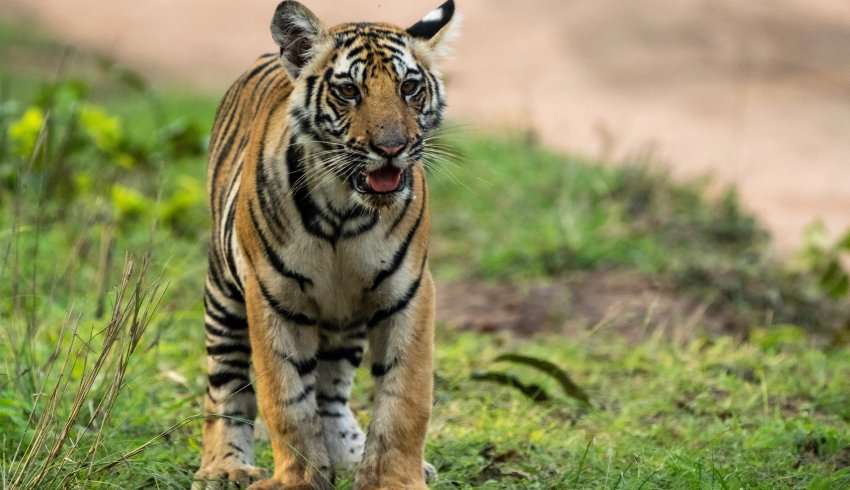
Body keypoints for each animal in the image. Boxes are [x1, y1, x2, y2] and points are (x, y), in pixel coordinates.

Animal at [192, 0, 458, 490]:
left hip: (345, 319)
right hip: (223, 295)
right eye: (349, 91)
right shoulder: (272, 296)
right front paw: (297, 479)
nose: (391, 148)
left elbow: (405, 398)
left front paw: (394, 479)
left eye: (409, 88)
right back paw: (225, 468)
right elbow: (286, 400)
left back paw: (349, 456)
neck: (344, 211)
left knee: (331, 392)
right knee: (226, 385)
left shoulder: (408, 292)